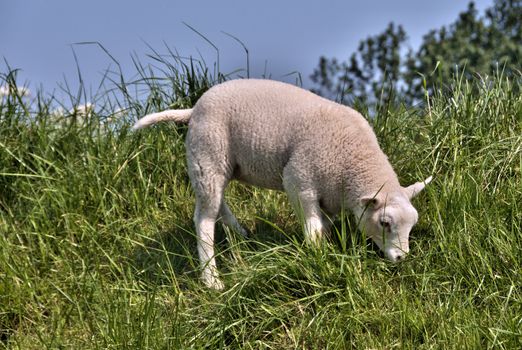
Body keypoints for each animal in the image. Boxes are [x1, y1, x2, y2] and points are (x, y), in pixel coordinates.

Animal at [134, 79, 430, 290]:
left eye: (412, 225)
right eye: (385, 223)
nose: (401, 259)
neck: (352, 163)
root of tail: (193, 109)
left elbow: (325, 223)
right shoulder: (299, 180)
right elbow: (313, 228)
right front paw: (318, 256)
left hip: (218, 165)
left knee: (217, 202)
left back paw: (240, 233)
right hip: (208, 153)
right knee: (203, 219)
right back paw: (212, 279)